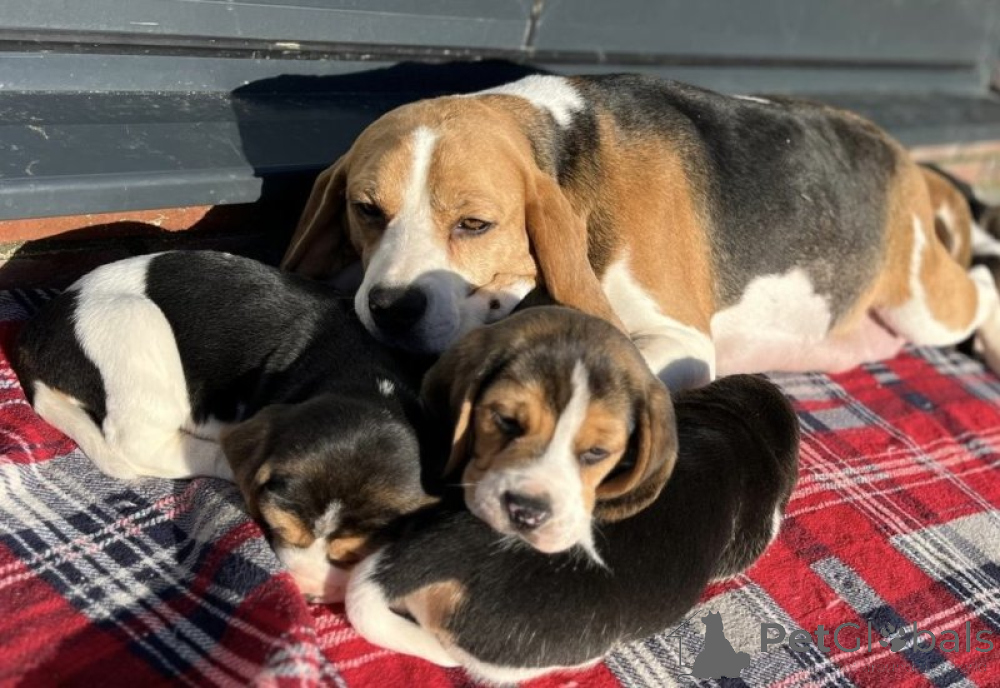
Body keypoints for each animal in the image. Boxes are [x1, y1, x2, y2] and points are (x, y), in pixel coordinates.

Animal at [12, 250, 437, 602]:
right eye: (279, 528)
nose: (311, 593)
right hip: (137, 327)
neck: (365, 379)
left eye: (353, 552)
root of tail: (35, 337)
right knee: (145, 444)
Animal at [281, 73, 1000, 390]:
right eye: (366, 209)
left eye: (474, 224)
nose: (390, 307)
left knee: (982, 284)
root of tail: (903, 155)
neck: (567, 147)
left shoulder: (681, 341)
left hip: (922, 300)